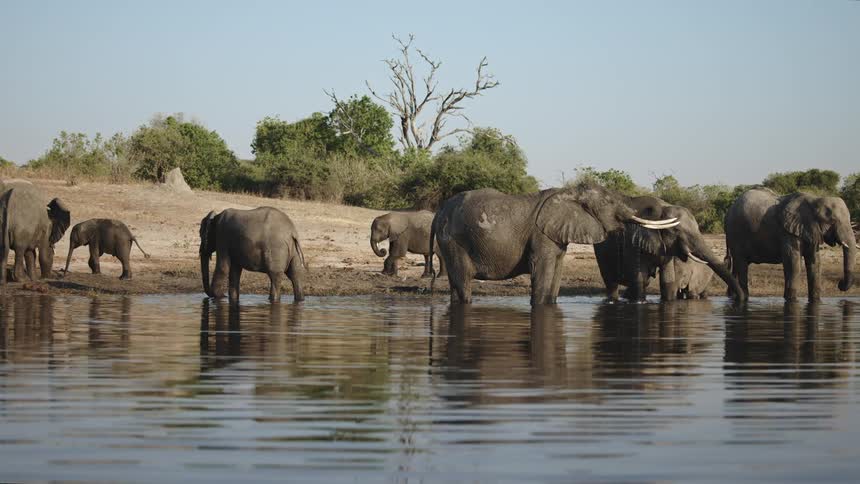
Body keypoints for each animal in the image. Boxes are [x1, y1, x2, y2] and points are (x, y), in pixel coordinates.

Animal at [429, 183, 681, 305]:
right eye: (609, 202)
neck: (569, 193)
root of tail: (439, 211)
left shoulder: (556, 236)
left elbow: (557, 271)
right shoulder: (542, 235)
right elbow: (542, 268)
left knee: (456, 285)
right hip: (455, 240)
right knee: (463, 282)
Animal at [593, 195, 742, 302]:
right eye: (676, 231)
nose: (738, 299)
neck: (661, 211)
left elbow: (667, 280)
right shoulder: (633, 241)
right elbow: (639, 278)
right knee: (612, 282)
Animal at [725, 188, 857, 302]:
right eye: (832, 221)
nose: (840, 284)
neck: (814, 199)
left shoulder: (810, 229)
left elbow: (815, 264)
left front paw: (815, 301)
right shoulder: (787, 232)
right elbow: (793, 264)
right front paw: (791, 300)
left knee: (736, 266)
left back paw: (731, 296)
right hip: (736, 234)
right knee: (741, 265)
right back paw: (744, 297)